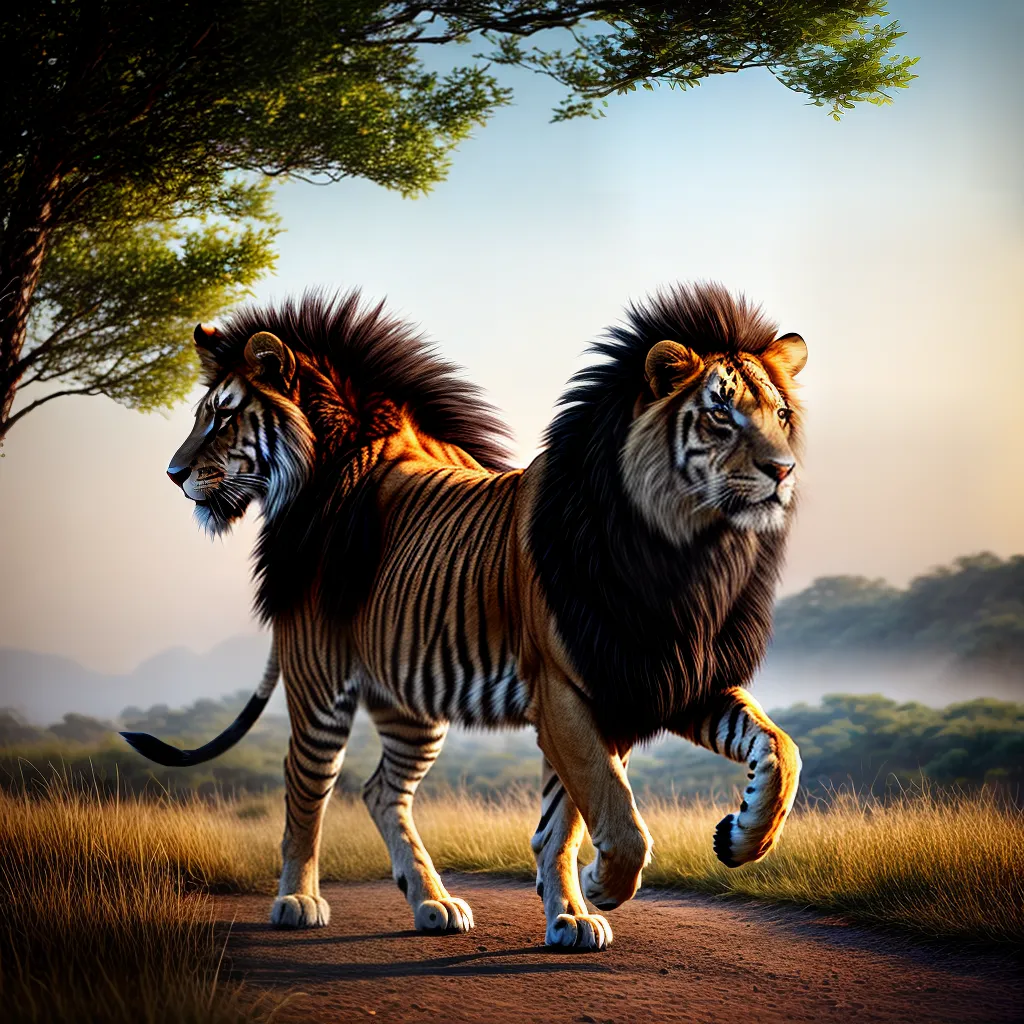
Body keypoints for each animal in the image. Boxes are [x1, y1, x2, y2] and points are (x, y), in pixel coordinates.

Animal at [122, 282, 805, 950]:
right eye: (719, 413)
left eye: (780, 416)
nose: (175, 473)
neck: (690, 553)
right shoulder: (566, 688)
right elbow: (612, 808)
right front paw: (601, 884)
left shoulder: (664, 676)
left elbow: (775, 752)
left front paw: (728, 843)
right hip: (321, 686)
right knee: (304, 789)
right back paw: (298, 900)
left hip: (410, 702)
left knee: (381, 791)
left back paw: (433, 903)